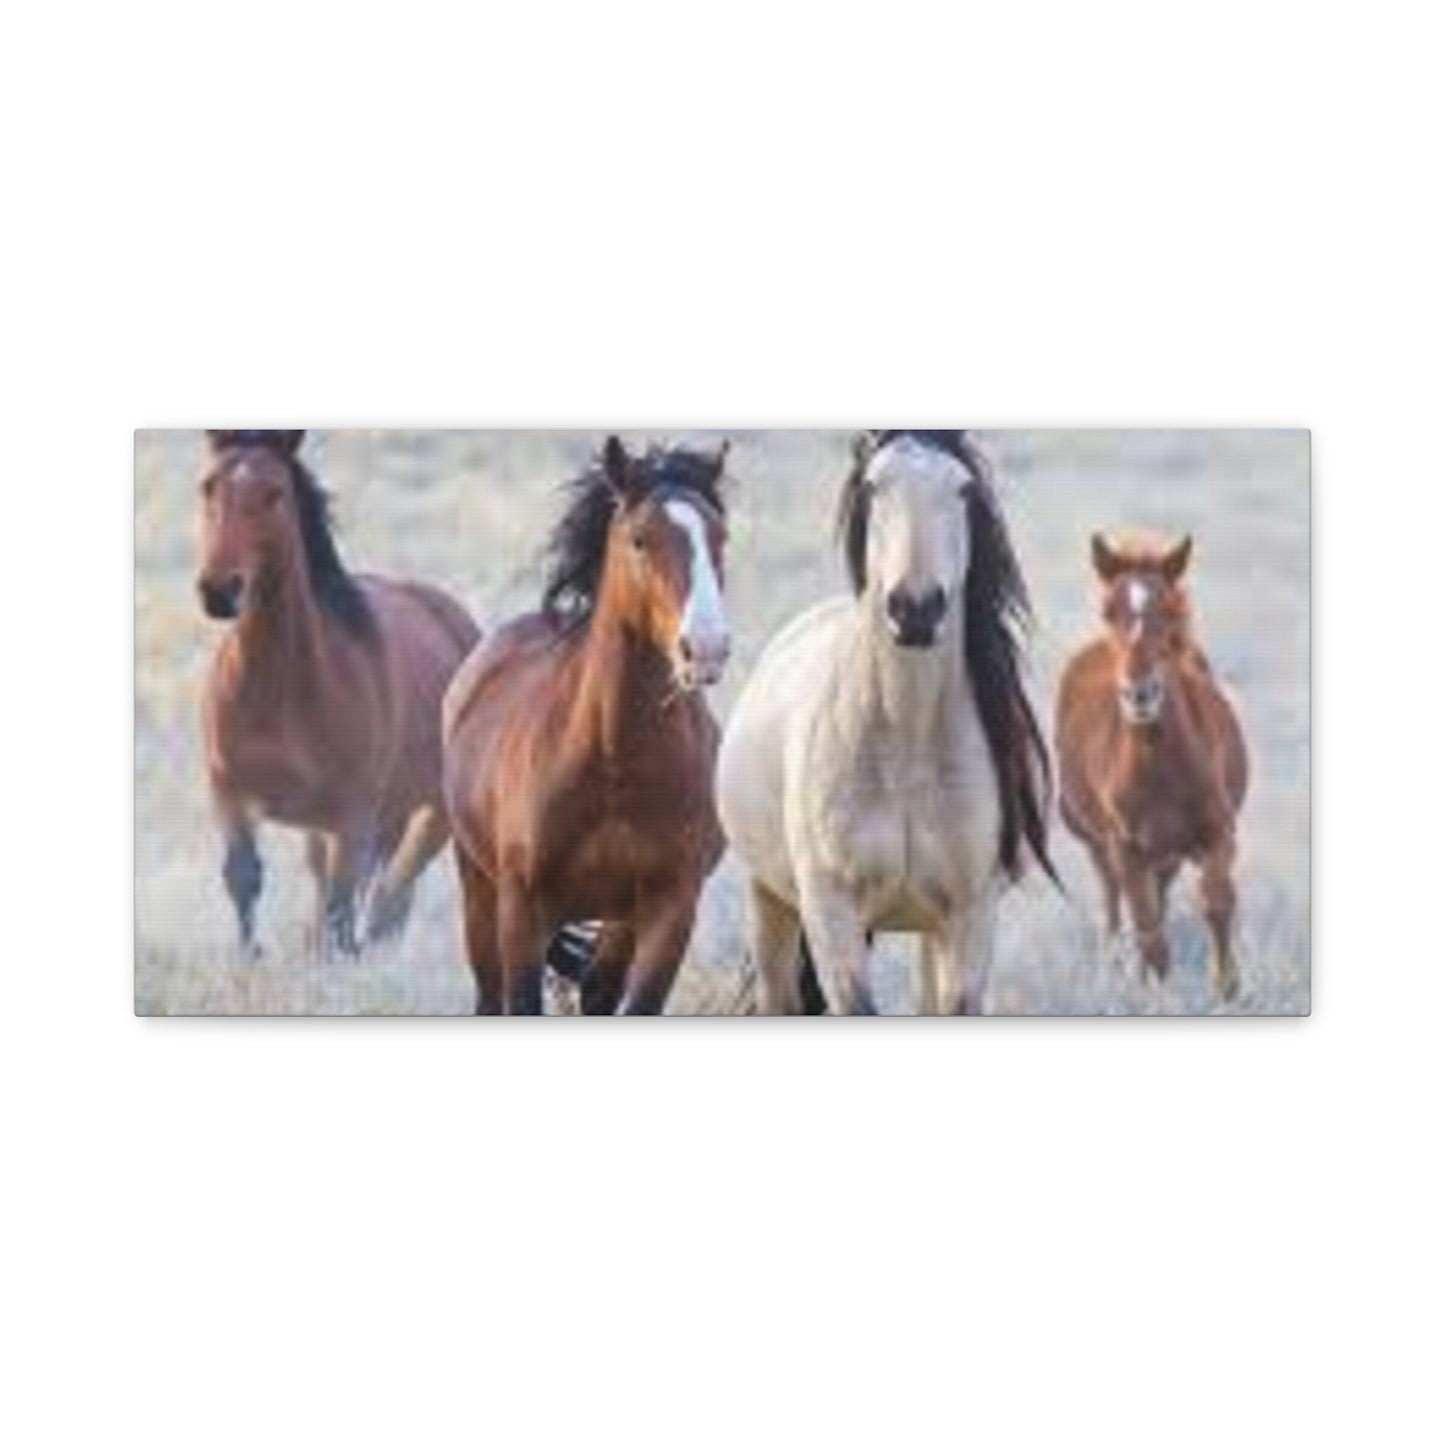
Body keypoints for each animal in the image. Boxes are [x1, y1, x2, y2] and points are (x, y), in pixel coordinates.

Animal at [195, 429, 480, 957]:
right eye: (208, 487)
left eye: (274, 493)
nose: (219, 591)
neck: (278, 694)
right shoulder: (230, 795)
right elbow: (244, 879)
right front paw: (250, 958)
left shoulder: (352, 816)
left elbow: (343, 906)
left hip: (430, 812)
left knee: (390, 895)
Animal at [443, 435, 733, 1015]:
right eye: (640, 540)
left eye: (721, 537)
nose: (707, 648)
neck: (614, 761)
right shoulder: (522, 909)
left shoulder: (669, 909)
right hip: (479, 886)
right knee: (488, 992)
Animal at [716, 429, 1055, 1015]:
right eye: (873, 486)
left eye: (964, 489)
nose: (915, 609)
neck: (905, 750)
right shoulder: (831, 914)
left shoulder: (970, 916)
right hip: (769, 901)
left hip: (929, 932)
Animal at [1055, 532, 1249, 1001]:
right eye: (1108, 610)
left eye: (1171, 610)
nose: (1139, 694)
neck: (1161, 770)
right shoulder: (1126, 848)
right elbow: (1148, 931)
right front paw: (1157, 996)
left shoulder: (1218, 832)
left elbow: (1216, 899)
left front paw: (1228, 989)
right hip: (1099, 844)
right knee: (1114, 905)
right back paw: (1113, 970)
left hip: (1167, 854)